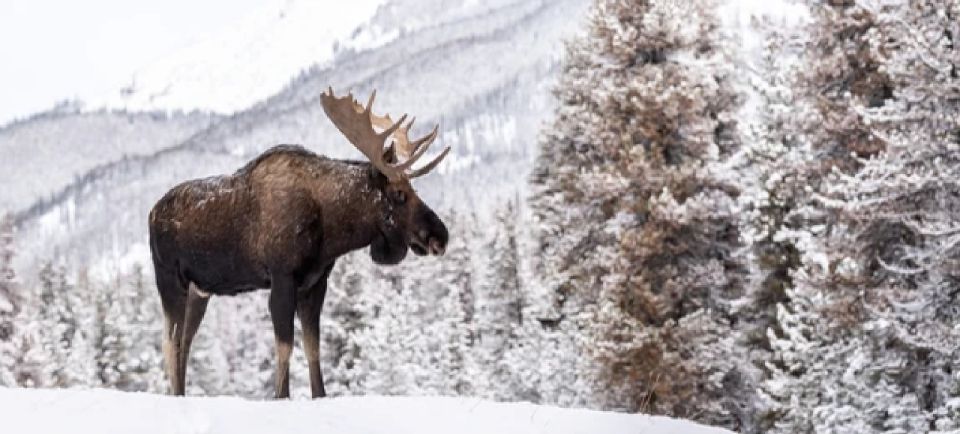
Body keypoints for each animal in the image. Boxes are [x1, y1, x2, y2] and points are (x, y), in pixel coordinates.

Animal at [148, 87, 452, 396]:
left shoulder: (315, 283)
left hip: (200, 291)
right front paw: (281, 396)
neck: (331, 230)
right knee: (170, 343)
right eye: (399, 193)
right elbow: (285, 348)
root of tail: (152, 213)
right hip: (170, 280)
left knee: (185, 343)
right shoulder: (282, 278)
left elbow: (312, 348)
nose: (440, 235)